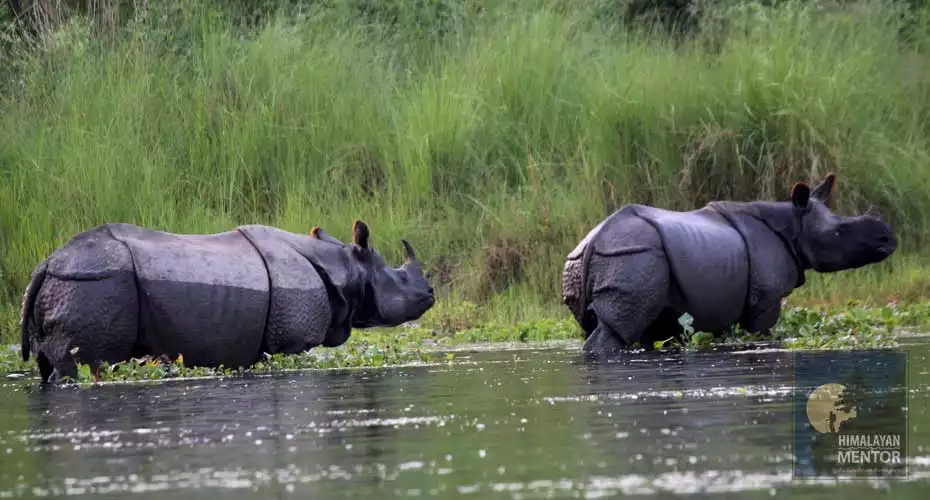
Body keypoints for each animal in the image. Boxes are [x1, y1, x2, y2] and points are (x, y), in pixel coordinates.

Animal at [20, 220, 436, 383]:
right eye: (401, 279)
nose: (430, 295)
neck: (346, 267)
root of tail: (47, 263)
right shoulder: (291, 342)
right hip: (94, 284)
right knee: (83, 364)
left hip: (70, 285)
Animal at [561, 173, 897, 355]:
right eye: (839, 232)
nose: (888, 238)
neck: (793, 223)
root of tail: (593, 242)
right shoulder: (766, 298)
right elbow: (760, 332)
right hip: (632, 255)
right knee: (618, 327)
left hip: (599, 261)